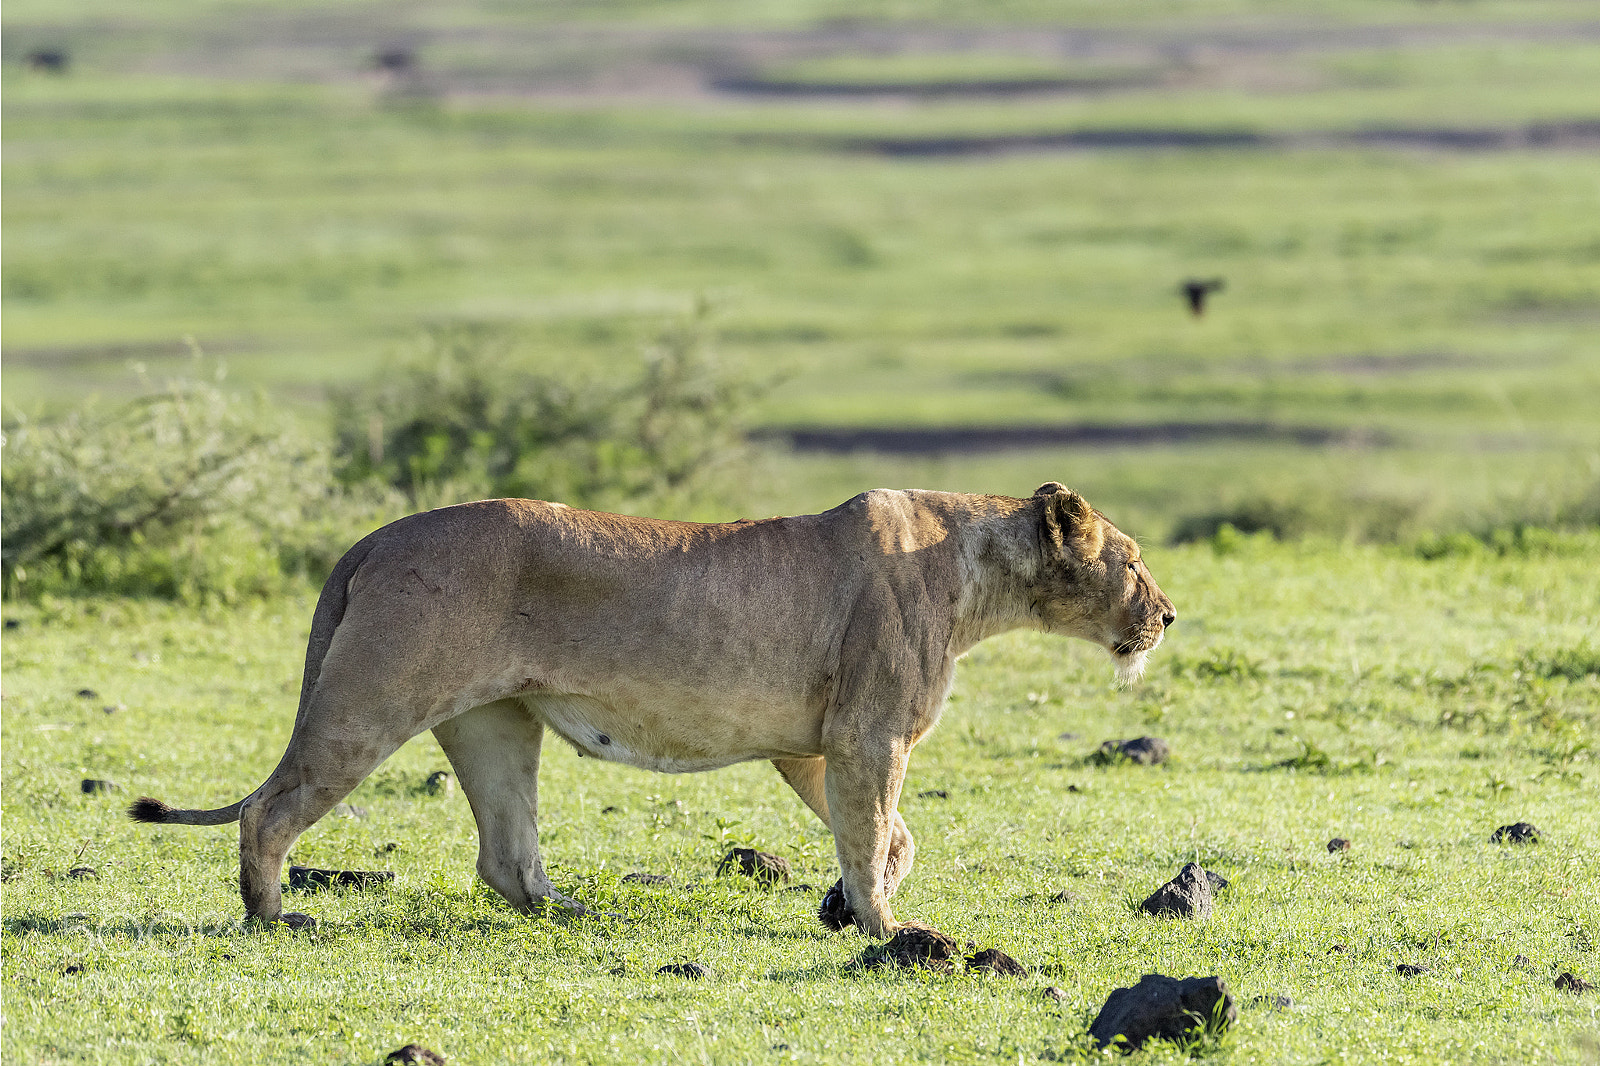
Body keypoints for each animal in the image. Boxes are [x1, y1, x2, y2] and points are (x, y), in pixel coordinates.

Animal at [130, 483, 1174, 936]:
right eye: (1131, 563)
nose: (1167, 615)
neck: (975, 570)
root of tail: (370, 540)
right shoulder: (867, 733)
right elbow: (876, 830)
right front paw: (884, 932)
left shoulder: (812, 744)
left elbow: (887, 835)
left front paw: (850, 903)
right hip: (372, 700)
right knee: (269, 812)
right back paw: (275, 918)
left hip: (494, 723)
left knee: (504, 857)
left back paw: (571, 913)